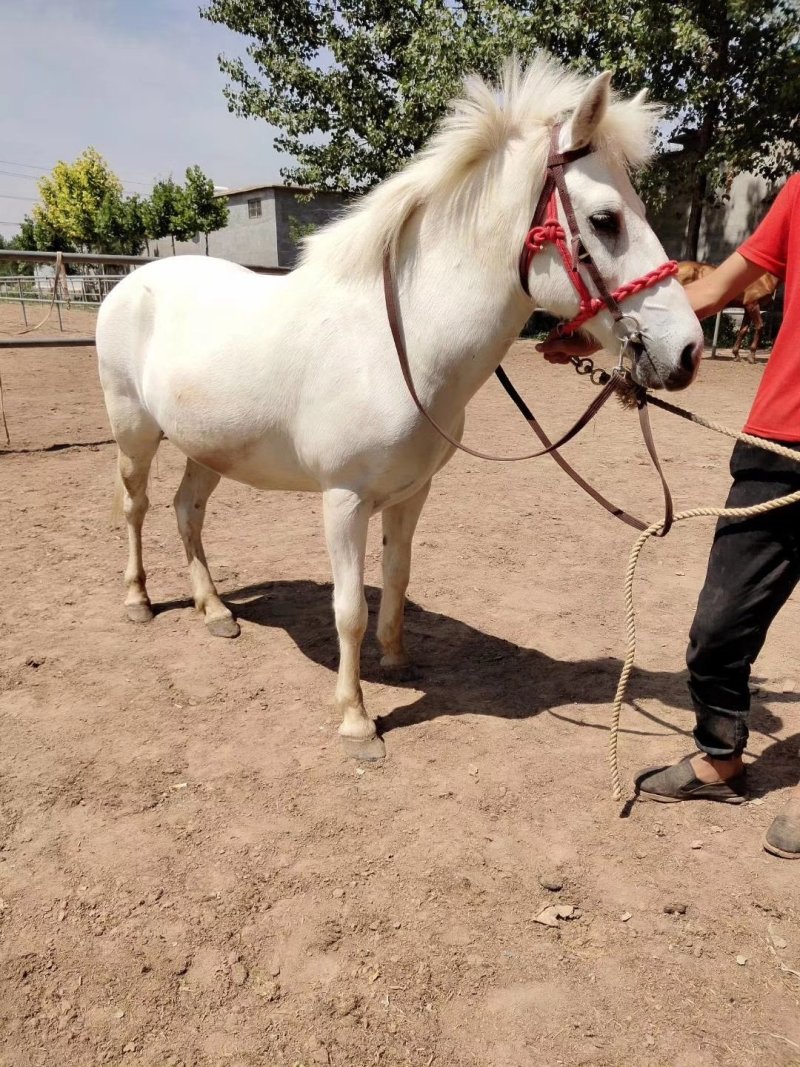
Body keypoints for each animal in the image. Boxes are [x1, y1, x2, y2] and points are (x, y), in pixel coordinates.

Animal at [98, 56, 699, 759]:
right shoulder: (344, 500)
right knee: (136, 507)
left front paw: (397, 662)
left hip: (209, 446)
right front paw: (357, 720)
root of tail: (132, 281)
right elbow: (349, 609)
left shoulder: (411, 494)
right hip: (134, 432)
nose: (686, 351)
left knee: (186, 511)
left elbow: (398, 576)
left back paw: (216, 611)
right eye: (606, 220)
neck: (400, 343)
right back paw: (139, 601)